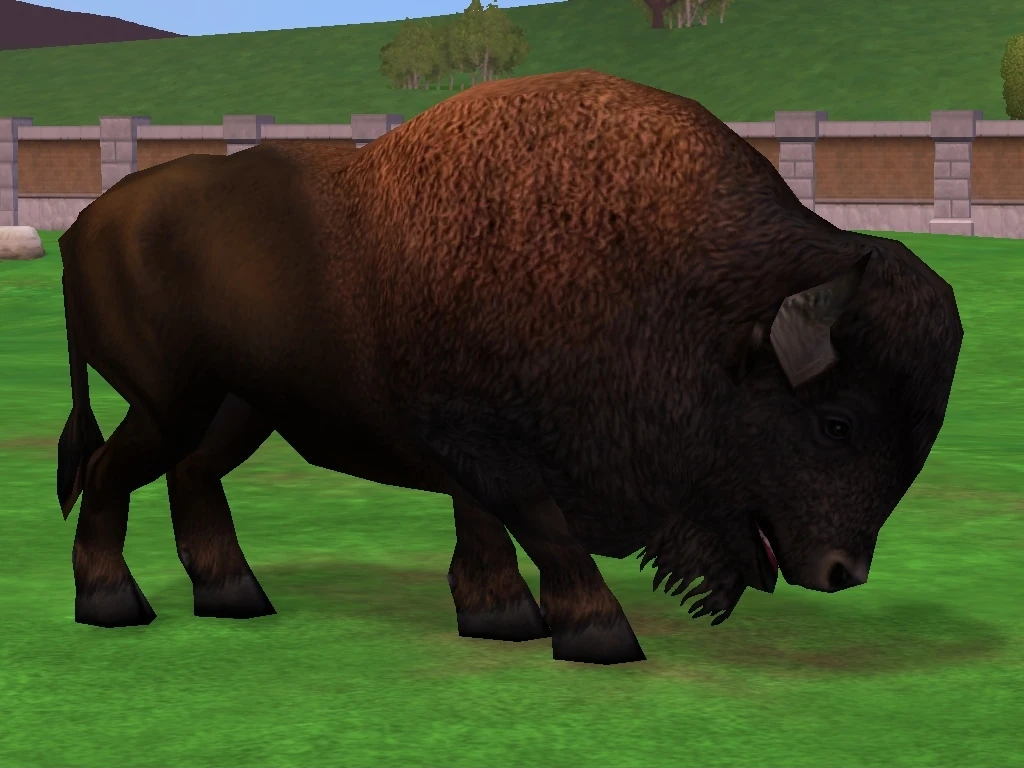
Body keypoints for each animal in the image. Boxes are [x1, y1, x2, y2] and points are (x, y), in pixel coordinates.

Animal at [57, 69, 963, 664]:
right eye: (836, 421)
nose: (843, 572)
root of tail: (84, 225)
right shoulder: (487, 442)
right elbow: (542, 525)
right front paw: (599, 635)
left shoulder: (473, 448)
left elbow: (485, 527)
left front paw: (500, 617)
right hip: (174, 403)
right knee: (109, 474)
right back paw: (114, 606)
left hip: (241, 409)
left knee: (188, 477)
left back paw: (235, 598)